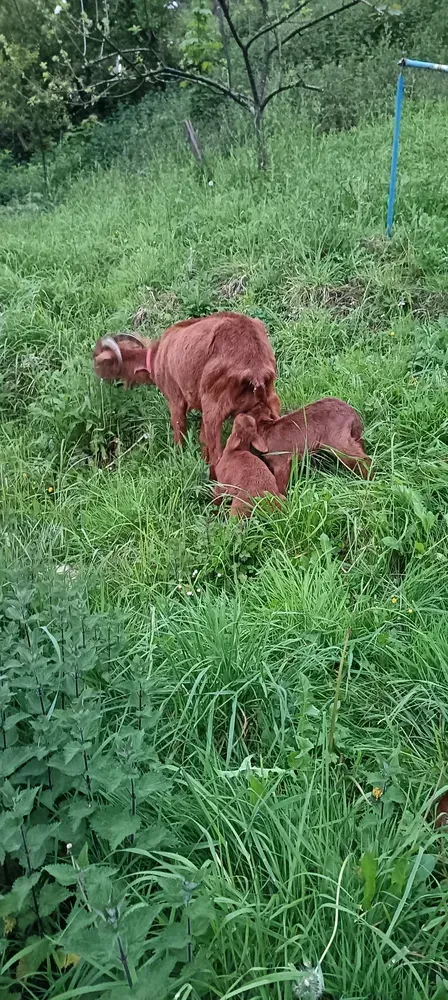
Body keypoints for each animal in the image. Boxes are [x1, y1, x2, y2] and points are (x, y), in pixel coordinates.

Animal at [93, 312, 280, 474]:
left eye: (99, 360)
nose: (98, 377)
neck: (156, 357)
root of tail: (255, 369)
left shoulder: (175, 400)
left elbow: (179, 429)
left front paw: (178, 457)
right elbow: (202, 438)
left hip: (214, 407)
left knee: (217, 456)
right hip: (271, 398)